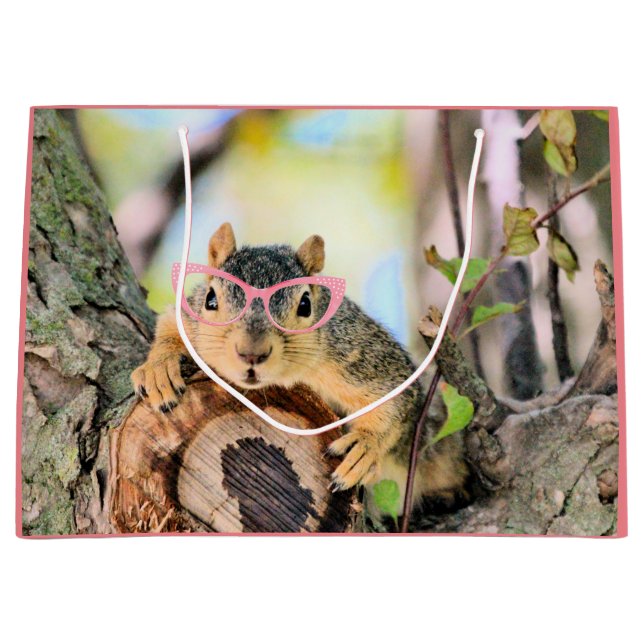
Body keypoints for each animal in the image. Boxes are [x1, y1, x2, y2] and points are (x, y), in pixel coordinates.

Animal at [131, 223, 469, 516]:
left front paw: (364, 445)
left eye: (305, 304)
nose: (251, 353)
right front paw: (160, 367)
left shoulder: (360, 355)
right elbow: (171, 324)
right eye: (211, 299)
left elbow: (394, 396)